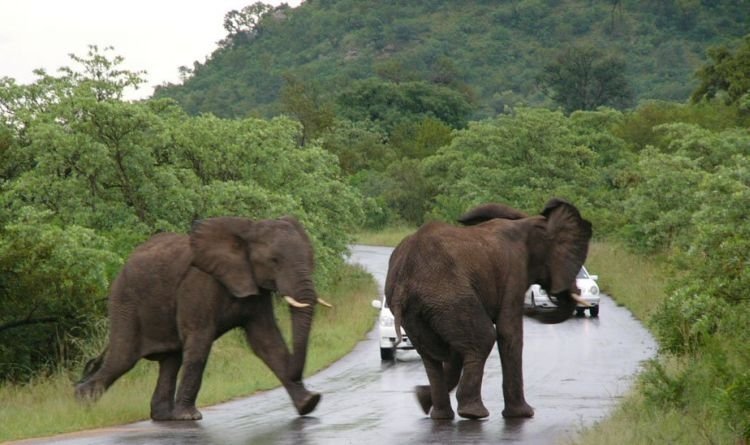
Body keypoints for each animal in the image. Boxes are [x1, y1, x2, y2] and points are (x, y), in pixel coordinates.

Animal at [75, 215, 330, 420]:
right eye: (274, 260)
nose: (298, 373)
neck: (246, 232)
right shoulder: (198, 284)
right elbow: (200, 343)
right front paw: (190, 417)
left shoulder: (255, 289)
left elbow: (267, 342)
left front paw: (309, 404)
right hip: (125, 303)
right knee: (123, 358)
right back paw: (82, 406)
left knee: (171, 360)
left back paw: (163, 417)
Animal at [388, 199, 592, 418]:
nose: (531, 307)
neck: (531, 224)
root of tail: (404, 278)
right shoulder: (514, 272)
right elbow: (508, 332)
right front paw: (524, 414)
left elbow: (454, 353)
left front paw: (422, 396)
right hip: (449, 296)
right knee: (483, 338)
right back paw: (473, 413)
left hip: (418, 312)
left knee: (432, 356)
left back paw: (435, 411)